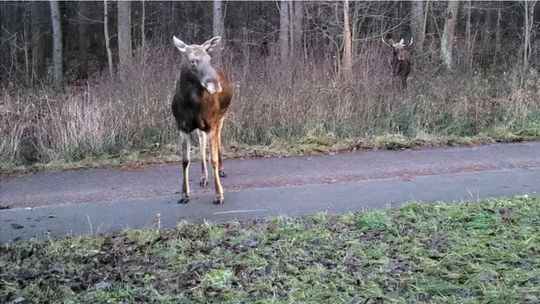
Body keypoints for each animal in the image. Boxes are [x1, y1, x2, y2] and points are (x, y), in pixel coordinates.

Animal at [172, 36, 233, 205]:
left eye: (209, 59)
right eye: (193, 61)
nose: (215, 85)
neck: (191, 104)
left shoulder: (211, 123)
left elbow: (213, 159)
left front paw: (219, 195)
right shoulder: (182, 127)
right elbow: (185, 160)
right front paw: (184, 194)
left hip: (221, 117)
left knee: (218, 139)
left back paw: (221, 170)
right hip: (201, 126)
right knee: (202, 142)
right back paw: (204, 177)